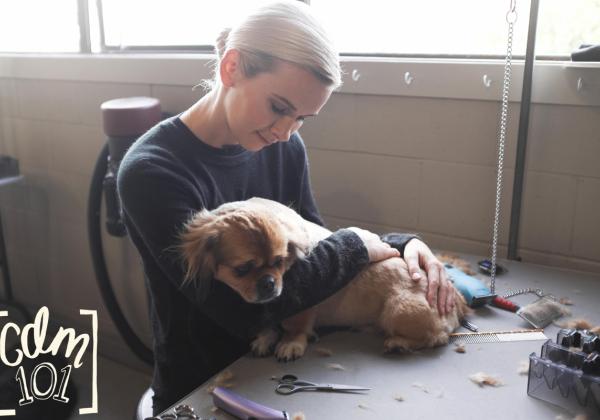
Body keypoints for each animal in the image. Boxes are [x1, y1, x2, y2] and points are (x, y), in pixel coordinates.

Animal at [180, 197, 470, 361]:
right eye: (242, 269)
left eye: (279, 262)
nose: (268, 283)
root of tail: (456, 300)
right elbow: (268, 323)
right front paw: (265, 337)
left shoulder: (302, 306)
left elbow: (295, 326)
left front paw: (291, 343)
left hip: (397, 310)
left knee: (437, 337)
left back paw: (398, 343)